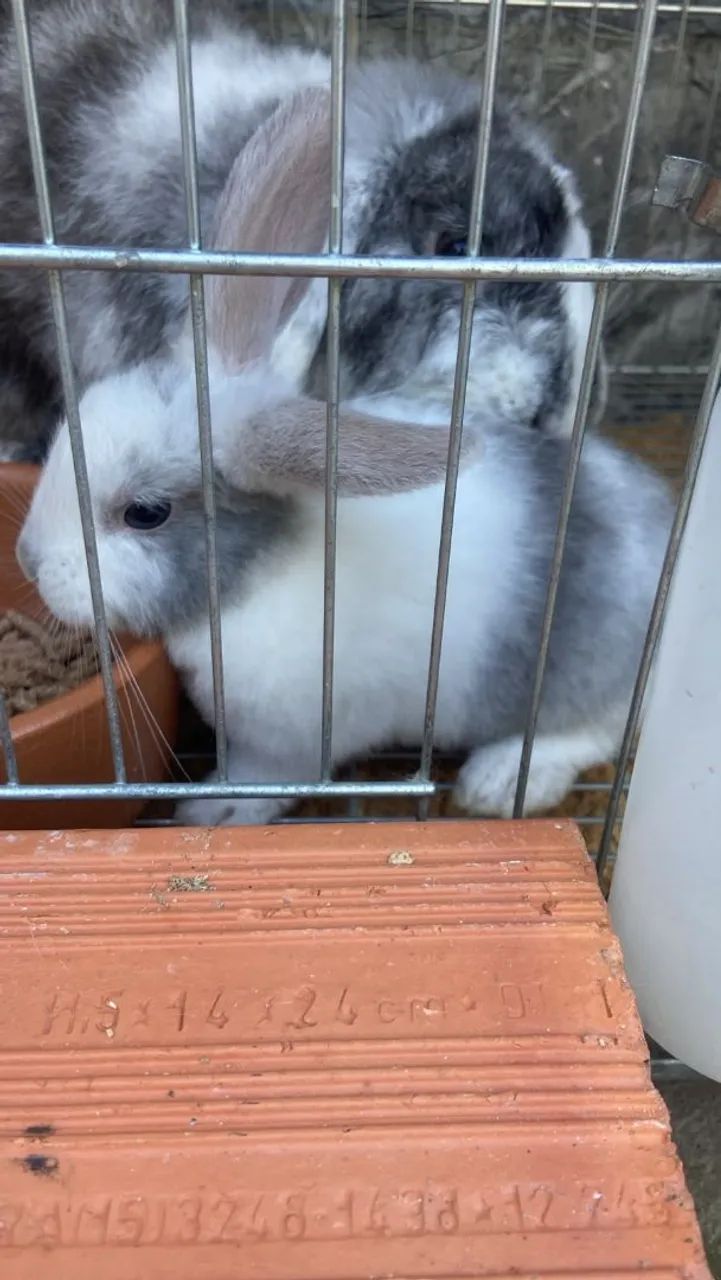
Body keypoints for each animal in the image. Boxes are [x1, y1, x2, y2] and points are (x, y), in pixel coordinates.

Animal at [17, 88, 671, 827]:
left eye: (145, 514)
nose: (28, 560)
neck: (253, 582)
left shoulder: (290, 742)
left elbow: (264, 778)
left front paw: (210, 812)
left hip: (587, 677)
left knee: (596, 729)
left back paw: (499, 782)